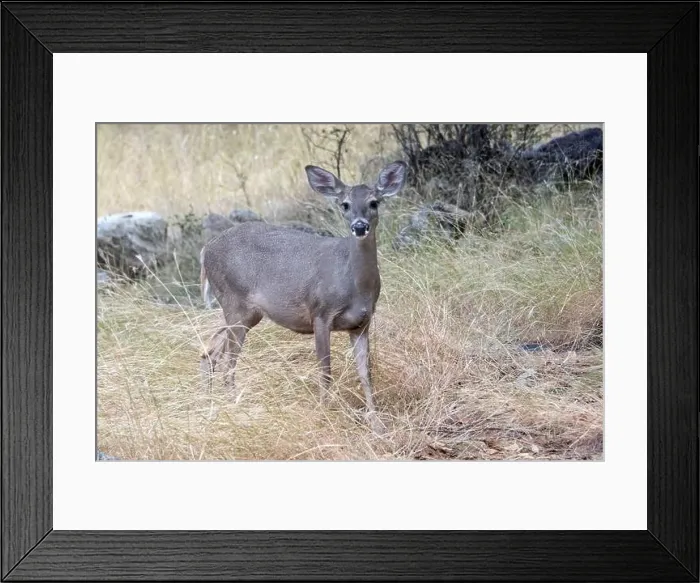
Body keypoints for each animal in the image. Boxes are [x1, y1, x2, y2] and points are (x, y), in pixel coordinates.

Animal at [198, 160, 408, 433]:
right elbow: (325, 370)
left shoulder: (362, 323)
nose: (360, 226)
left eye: (374, 202)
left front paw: (377, 424)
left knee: (210, 352)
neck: (353, 284)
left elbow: (365, 373)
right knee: (227, 361)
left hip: (245, 313)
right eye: (345, 204)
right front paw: (324, 414)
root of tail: (206, 249)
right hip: (234, 301)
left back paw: (211, 405)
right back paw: (234, 407)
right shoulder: (320, 313)